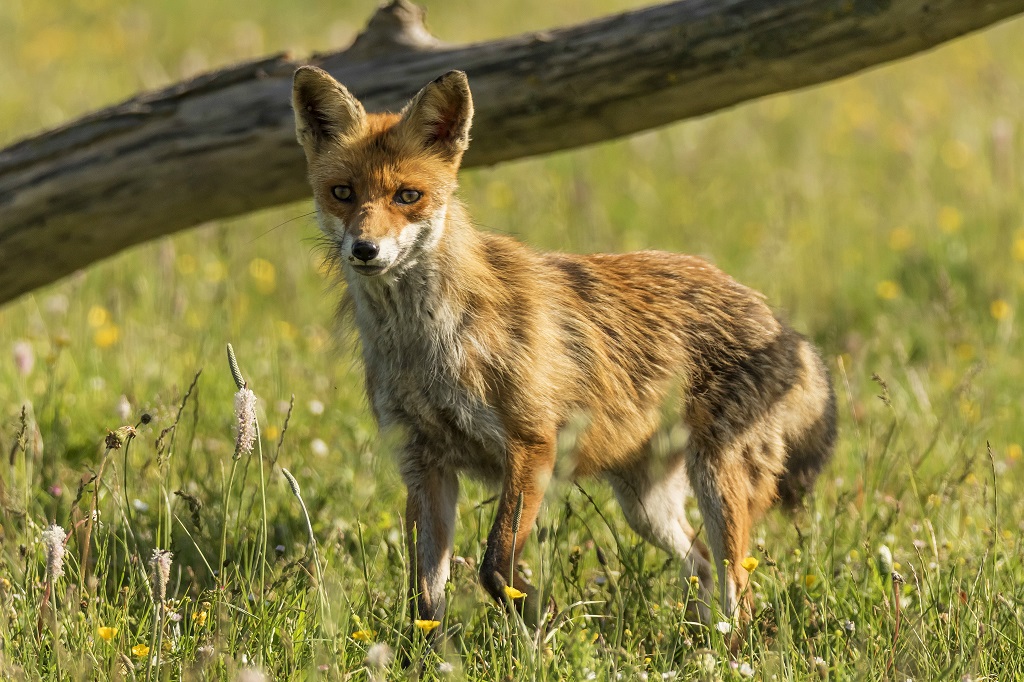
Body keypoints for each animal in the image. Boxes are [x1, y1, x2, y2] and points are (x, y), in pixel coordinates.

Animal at [292, 66, 835, 630]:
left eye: (407, 195)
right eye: (342, 192)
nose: (365, 250)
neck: (424, 349)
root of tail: (775, 317)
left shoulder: (532, 446)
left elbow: (496, 565)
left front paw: (540, 616)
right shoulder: (423, 464)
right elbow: (426, 598)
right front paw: (434, 648)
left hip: (718, 486)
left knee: (738, 588)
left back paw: (726, 643)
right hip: (644, 506)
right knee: (701, 565)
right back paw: (698, 639)